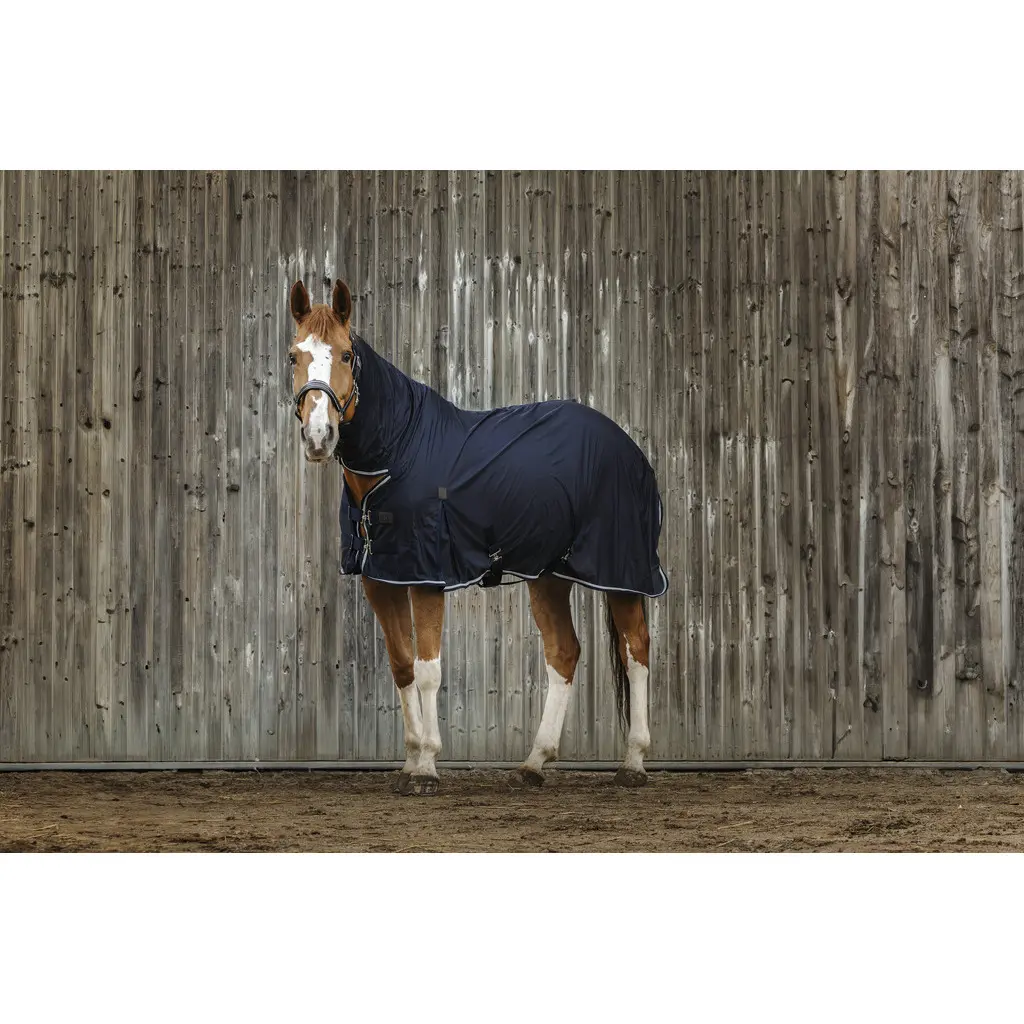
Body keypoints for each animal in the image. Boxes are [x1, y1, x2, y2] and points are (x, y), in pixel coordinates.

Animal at [288, 278, 668, 795]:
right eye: (294, 355)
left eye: (346, 354)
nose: (318, 437)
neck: (399, 453)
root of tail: (630, 448)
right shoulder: (381, 578)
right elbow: (402, 665)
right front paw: (410, 761)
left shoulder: (426, 577)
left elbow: (428, 671)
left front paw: (427, 767)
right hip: (548, 575)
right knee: (564, 652)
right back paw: (533, 763)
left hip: (623, 571)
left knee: (637, 652)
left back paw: (633, 762)